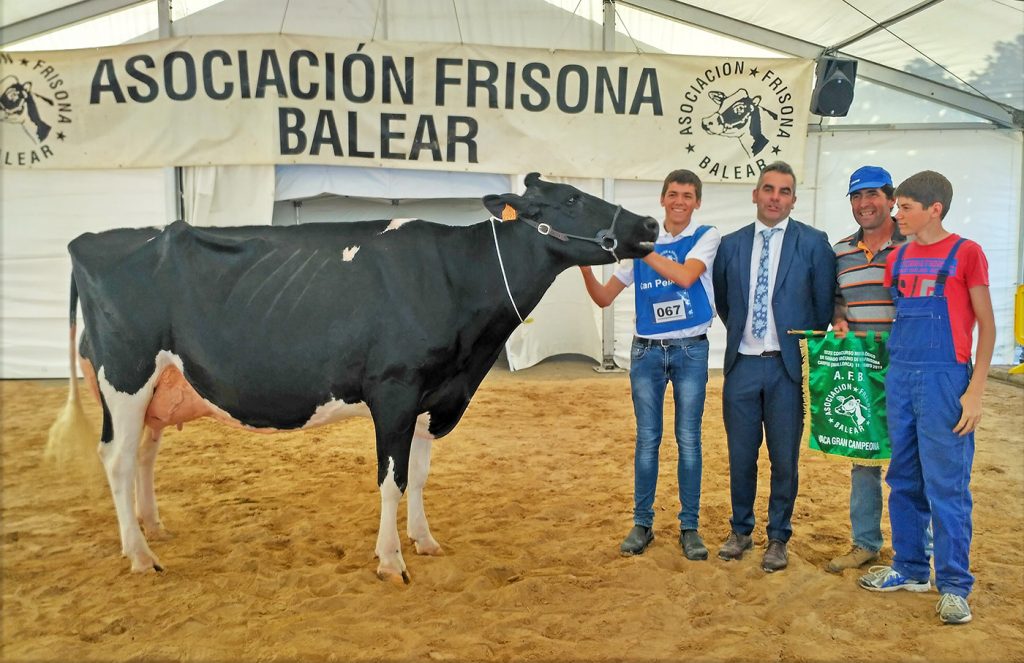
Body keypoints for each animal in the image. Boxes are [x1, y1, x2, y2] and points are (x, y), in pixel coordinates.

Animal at [48, 174, 659, 582]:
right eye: (573, 198)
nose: (649, 223)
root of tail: (88, 240)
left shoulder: (433, 394)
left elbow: (420, 475)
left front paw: (425, 541)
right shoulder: (394, 389)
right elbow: (392, 479)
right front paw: (391, 561)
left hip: (160, 386)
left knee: (144, 454)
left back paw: (152, 528)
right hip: (124, 377)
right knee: (117, 459)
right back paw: (141, 556)